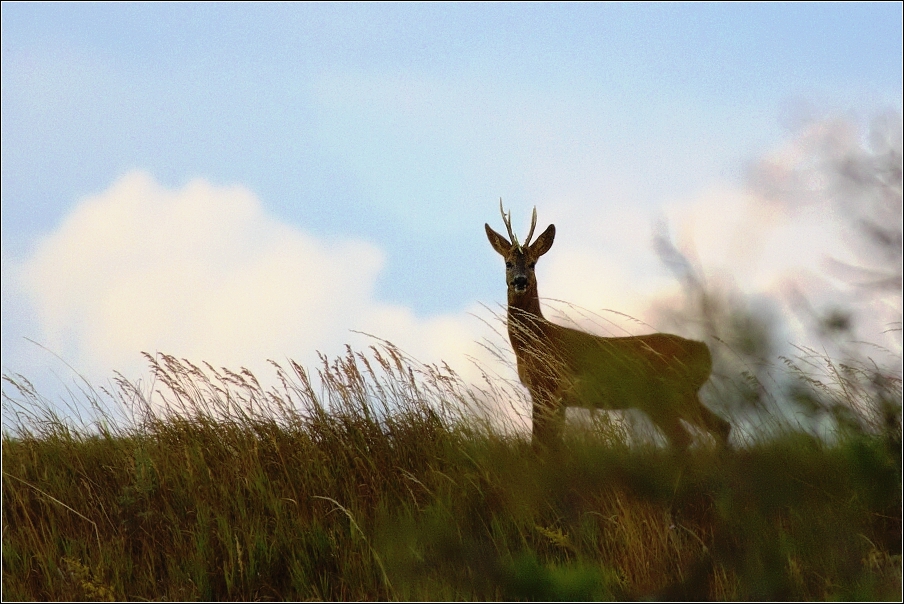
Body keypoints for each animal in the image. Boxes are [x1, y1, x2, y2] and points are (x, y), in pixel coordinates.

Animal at [484, 201, 732, 450]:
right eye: (508, 263)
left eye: (533, 264)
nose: (520, 281)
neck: (536, 339)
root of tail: (703, 351)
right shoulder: (555, 398)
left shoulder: (547, 388)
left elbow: (540, 444)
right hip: (682, 397)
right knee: (721, 426)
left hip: (664, 396)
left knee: (684, 437)